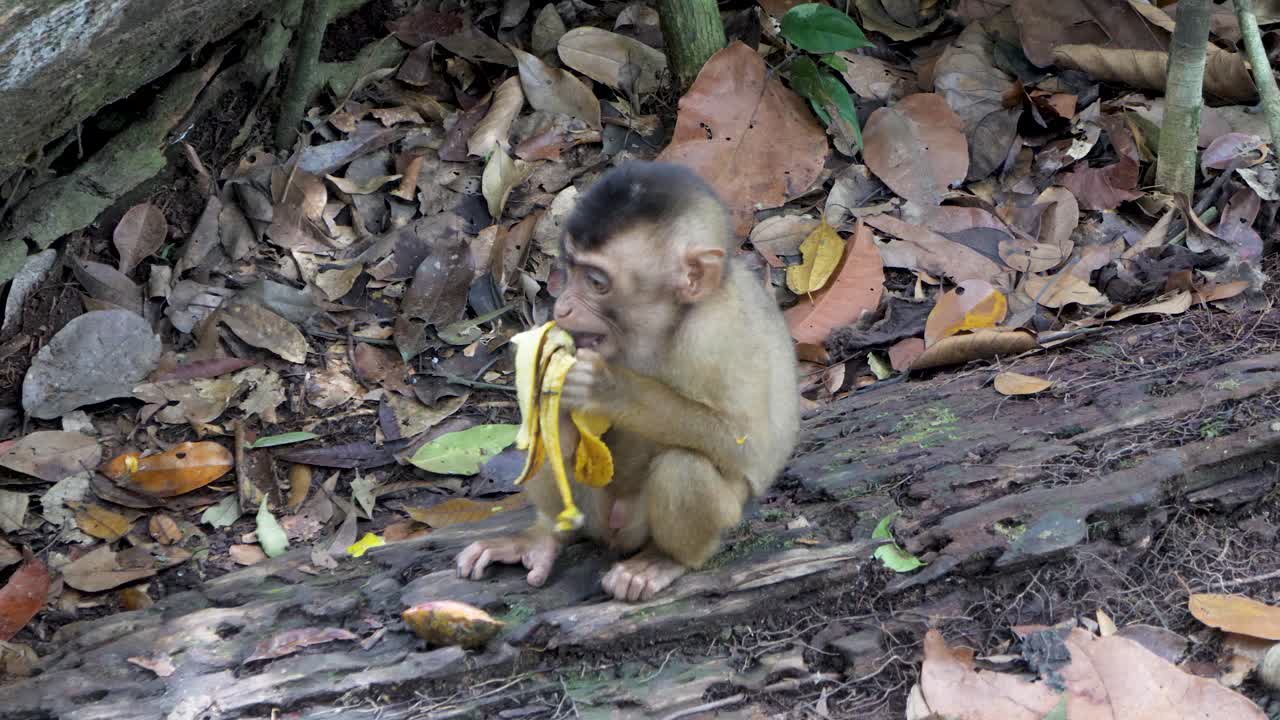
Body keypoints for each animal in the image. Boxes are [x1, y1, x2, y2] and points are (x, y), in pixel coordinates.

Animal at [455, 161, 801, 602]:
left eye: (596, 282)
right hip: (590, 511)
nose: (561, 307)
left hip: (659, 523)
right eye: (569, 270)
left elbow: (749, 444)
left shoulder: (718, 331)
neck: (661, 325)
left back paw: (663, 560)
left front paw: (609, 388)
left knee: (683, 466)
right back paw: (545, 536)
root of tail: (613, 531)